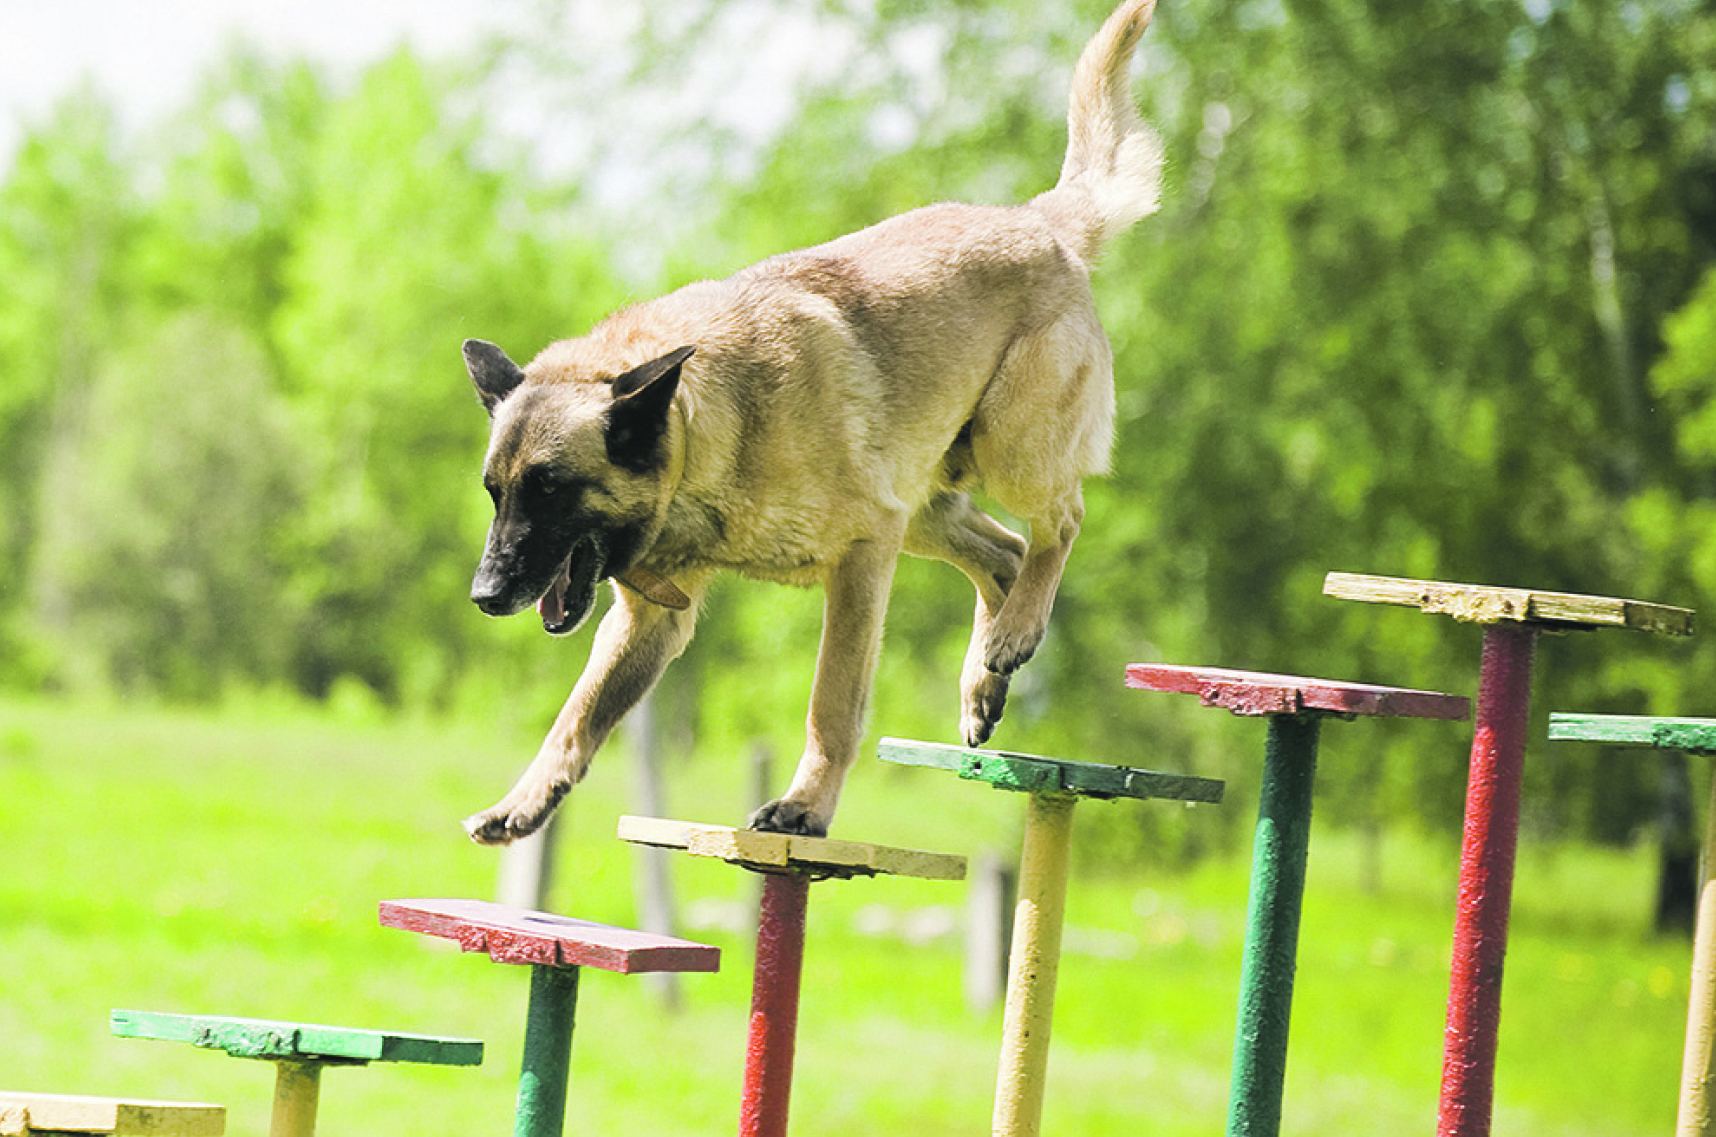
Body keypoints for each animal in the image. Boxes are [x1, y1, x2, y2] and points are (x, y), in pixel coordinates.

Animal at [463, 0, 1160, 843]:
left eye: (552, 487)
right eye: (496, 492)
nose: (485, 595)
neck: (706, 432)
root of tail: (1042, 222)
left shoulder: (861, 555)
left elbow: (831, 703)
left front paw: (805, 807)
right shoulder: (652, 618)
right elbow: (577, 717)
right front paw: (523, 802)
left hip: (1006, 451)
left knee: (1061, 521)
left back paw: (1017, 630)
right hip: (923, 507)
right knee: (1005, 552)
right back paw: (985, 674)